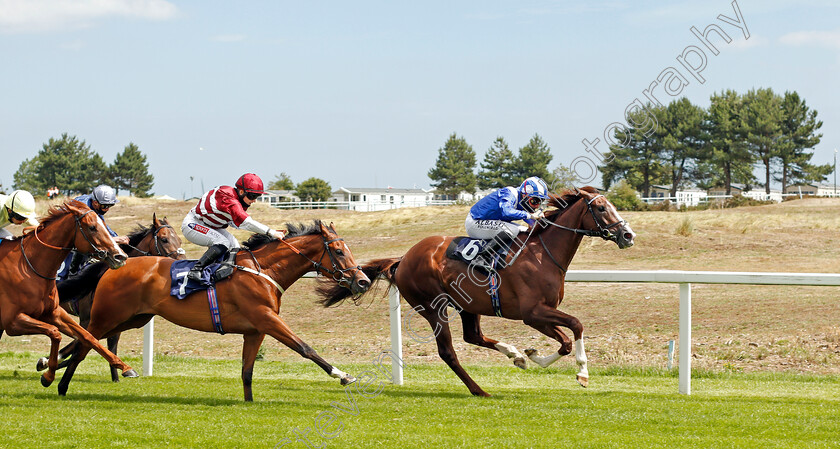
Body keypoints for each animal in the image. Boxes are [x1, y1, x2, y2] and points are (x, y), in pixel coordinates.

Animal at [0, 200, 133, 384]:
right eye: (92, 227)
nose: (120, 256)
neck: (29, 267)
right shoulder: (13, 322)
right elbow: (55, 333)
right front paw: (48, 374)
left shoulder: (54, 313)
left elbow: (87, 337)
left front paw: (124, 367)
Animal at [36, 213, 185, 378]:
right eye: (164, 239)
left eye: (179, 240)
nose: (181, 264)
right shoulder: (88, 318)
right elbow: (85, 339)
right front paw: (46, 361)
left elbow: (107, 344)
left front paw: (118, 377)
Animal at [322, 187, 636, 398]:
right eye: (602, 209)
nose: (628, 235)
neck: (542, 254)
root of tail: (403, 259)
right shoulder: (532, 312)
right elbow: (575, 326)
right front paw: (582, 373)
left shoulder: (539, 314)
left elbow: (565, 342)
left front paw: (531, 355)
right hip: (433, 308)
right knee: (448, 351)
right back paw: (478, 389)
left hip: (466, 305)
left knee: (473, 336)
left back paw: (513, 354)